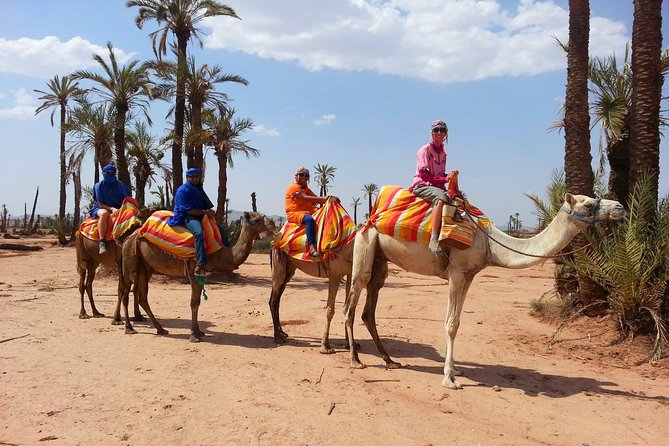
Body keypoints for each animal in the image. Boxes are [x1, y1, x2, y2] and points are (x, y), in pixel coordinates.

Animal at [119, 211, 275, 342]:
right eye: (257, 219)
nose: (272, 222)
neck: (219, 253)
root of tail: (129, 237)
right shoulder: (193, 270)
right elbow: (194, 302)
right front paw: (193, 336)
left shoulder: (202, 275)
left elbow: (198, 301)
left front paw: (199, 332)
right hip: (129, 262)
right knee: (125, 293)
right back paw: (129, 328)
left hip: (145, 268)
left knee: (142, 297)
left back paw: (161, 329)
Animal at [344, 193, 625, 389]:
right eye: (587, 204)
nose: (620, 208)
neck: (491, 244)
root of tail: (367, 221)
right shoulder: (457, 273)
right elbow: (450, 324)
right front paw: (449, 379)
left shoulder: (469, 276)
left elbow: (458, 322)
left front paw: (454, 370)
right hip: (365, 248)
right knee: (350, 306)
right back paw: (356, 359)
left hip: (380, 260)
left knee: (368, 310)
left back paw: (390, 360)